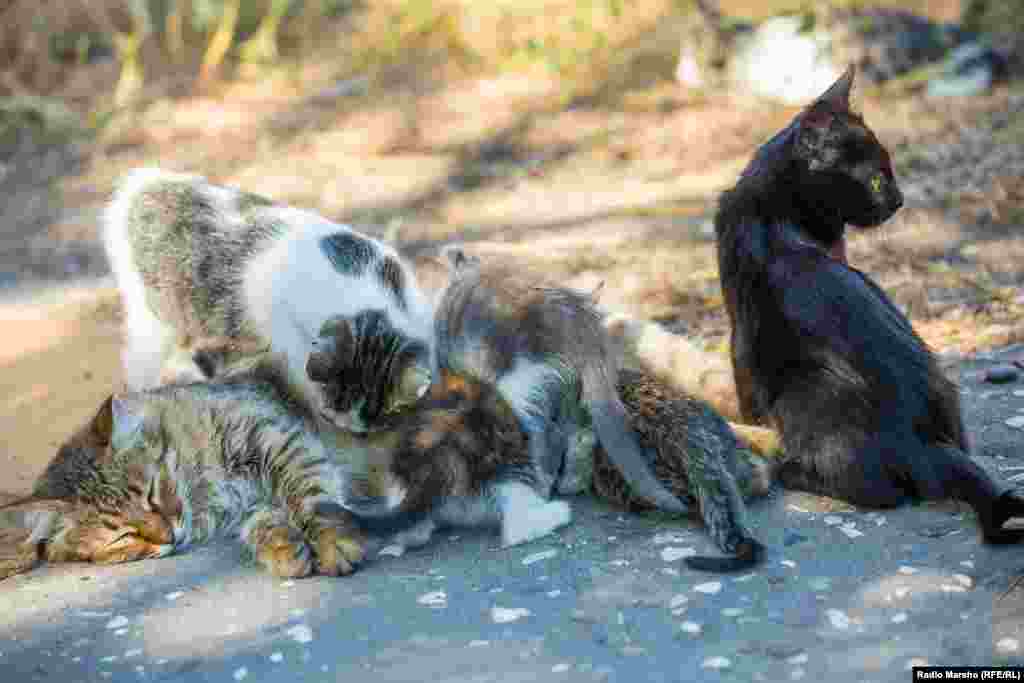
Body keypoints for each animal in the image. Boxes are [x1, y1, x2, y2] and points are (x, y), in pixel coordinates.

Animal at [105, 167, 434, 432]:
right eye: (335, 405)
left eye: (373, 414)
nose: (344, 425)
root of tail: (140, 183)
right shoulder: (274, 306)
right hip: (150, 318)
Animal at [712, 66, 1024, 540]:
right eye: (877, 177)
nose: (899, 200)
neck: (771, 206)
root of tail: (924, 444)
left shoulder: (742, 334)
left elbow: (748, 394)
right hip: (942, 383)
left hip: (805, 391)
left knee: (881, 492)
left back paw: (789, 470)